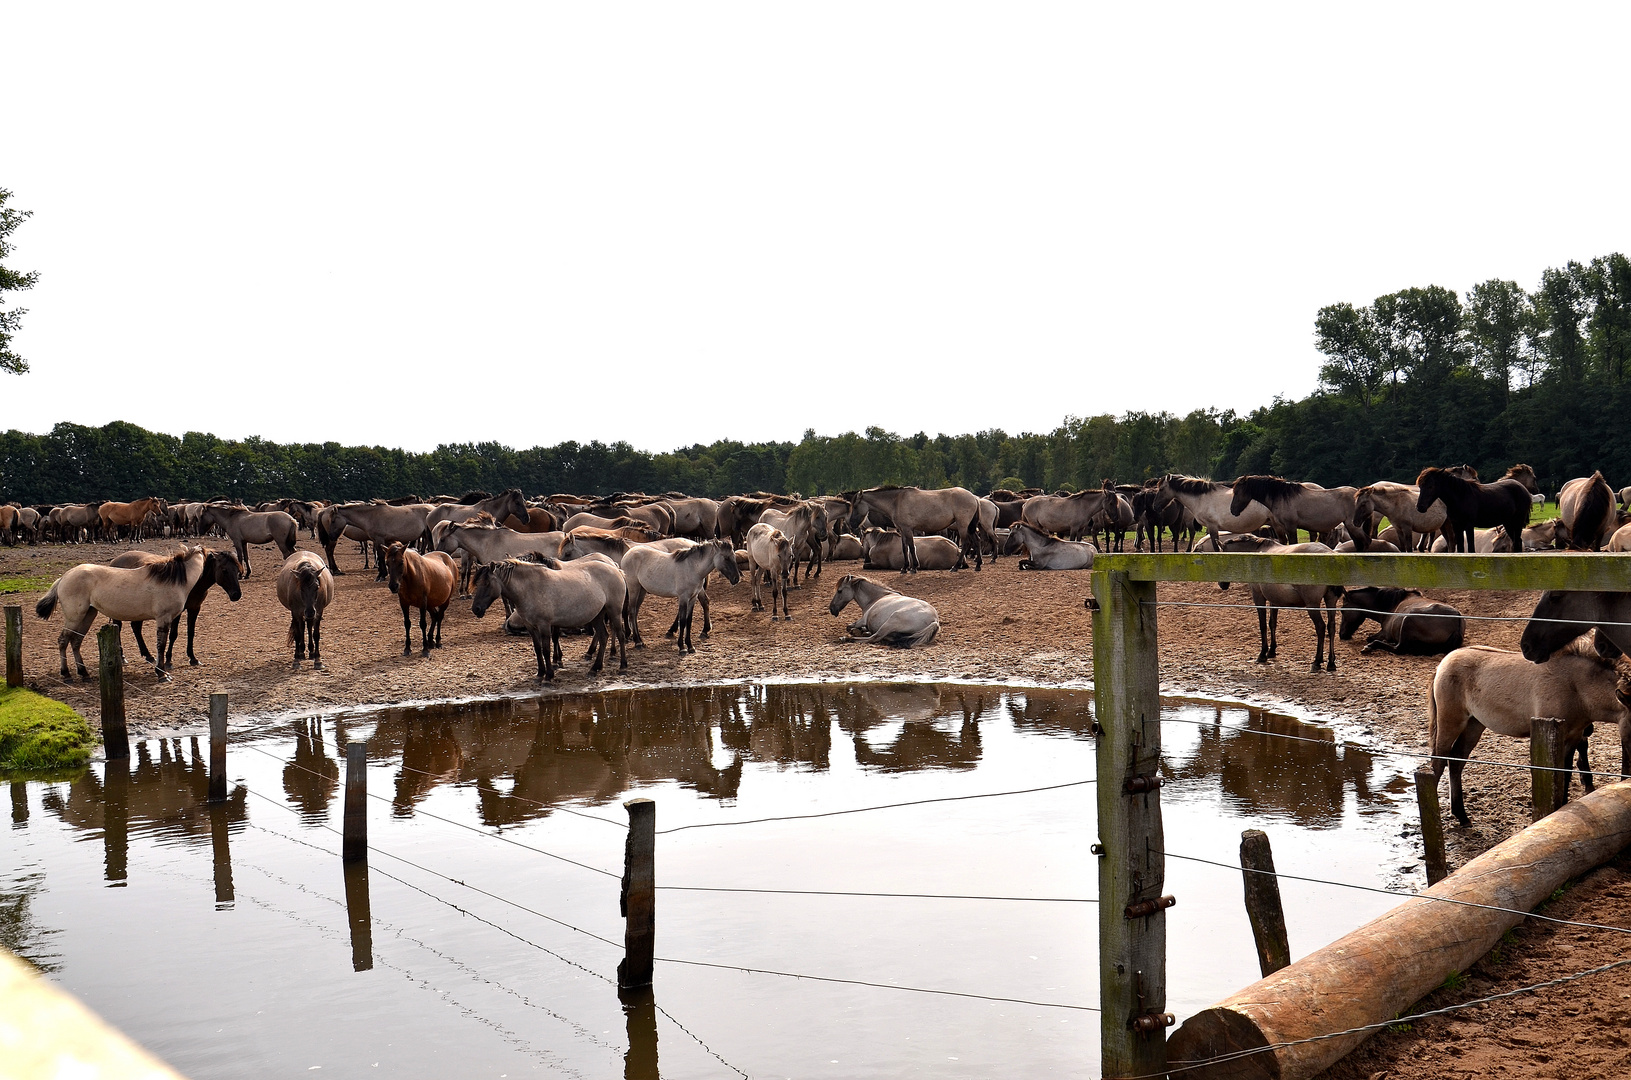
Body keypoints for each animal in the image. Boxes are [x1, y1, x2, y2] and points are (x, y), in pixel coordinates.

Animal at [1337, 587, 1467, 655]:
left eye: (1342, 610)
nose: (1341, 634)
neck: (1392, 605)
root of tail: (1456, 621)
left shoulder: (1385, 633)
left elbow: (1370, 637)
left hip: (1407, 620)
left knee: (1399, 648)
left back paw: (1372, 646)